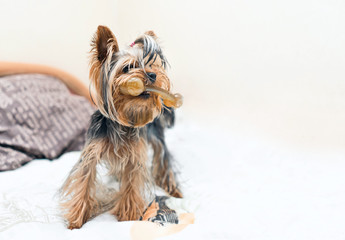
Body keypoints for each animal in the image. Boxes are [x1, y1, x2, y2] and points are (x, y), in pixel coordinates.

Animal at [59, 25, 183, 230]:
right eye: (128, 68)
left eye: (151, 66)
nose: (153, 75)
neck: (123, 117)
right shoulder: (91, 154)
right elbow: (84, 182)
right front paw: (76, 221)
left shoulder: (135, 156)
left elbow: (132, 184)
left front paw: (128, 216)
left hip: (156, 136)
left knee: (163, 158)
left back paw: (173, 189)